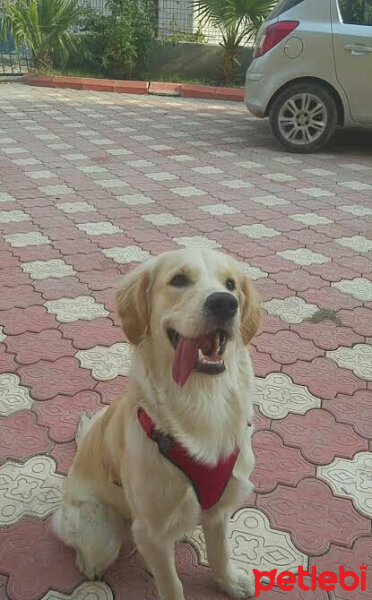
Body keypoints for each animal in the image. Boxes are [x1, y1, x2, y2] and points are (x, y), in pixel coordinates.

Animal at [53, 248, 262, 600]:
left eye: (231, 284)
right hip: (99, 531)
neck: (202, 400)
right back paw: (90, 565)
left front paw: (230, 583)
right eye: (179, 279)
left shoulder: (220, 508)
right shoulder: (151, 533)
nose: (224, 303)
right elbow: (172, 584)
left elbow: (220, 553)